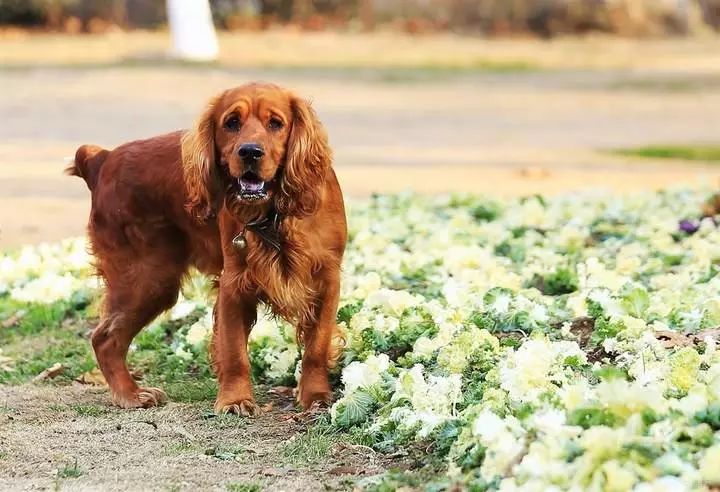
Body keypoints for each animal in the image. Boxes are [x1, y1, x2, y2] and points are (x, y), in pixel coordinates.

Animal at [67, 82, 346, 414]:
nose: (250, 151)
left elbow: (318, 344)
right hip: (147, 278)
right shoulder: (233, 284)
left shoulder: (327, 279)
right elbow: (235, 351)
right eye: (232, 123)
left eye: (276, 123)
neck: (274, 215)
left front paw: (315, 395)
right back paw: (131, 394)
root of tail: (102, 160)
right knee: (104, 338)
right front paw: (235, 399)